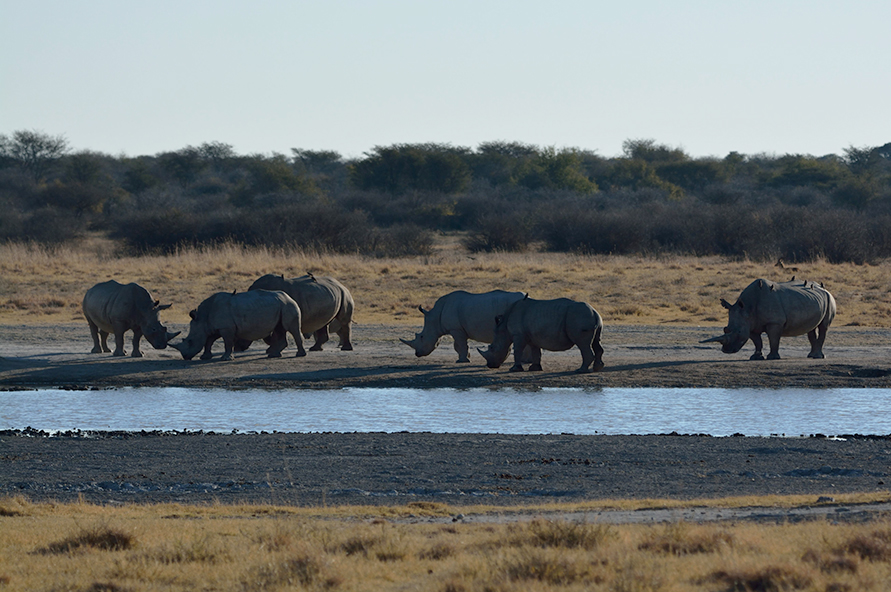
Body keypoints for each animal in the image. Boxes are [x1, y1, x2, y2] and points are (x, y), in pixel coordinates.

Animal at [172, 288, 308, 358]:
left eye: (190, 341)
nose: (185, 357)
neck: (202, 317)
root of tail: (290, 297)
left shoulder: (226, 327)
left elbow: (227, 343)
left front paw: (225, 358)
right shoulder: (213, 327)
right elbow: (209, 341)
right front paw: (205, 357)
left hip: (288, 306)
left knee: (291, 329)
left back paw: (299, 355)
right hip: (281, 305)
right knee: (279, 329)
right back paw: (274, 355)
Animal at [398, 290, 528, 364]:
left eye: (421, 337)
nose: (417, 354)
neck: (435, 318)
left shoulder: (456, 329)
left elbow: (459, 345)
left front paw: (462, 361)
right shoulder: (459, 329)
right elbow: (461, 345)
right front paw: (467, 357)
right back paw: (524, 361)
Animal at [474, 296, 608, 374]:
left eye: (492, 348)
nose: (490, 365)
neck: (503, 329)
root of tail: (595, 312)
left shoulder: (518, 335)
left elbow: (517, 350)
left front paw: (514, 369)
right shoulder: (533, 336)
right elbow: (536, 351)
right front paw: (535, 368)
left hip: (580, 317)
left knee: (583, 344)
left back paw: (580, 370)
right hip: (592, 318)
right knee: (596, 342)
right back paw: (598, 368)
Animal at [704, 278, 836, 360]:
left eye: (739, 332)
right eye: (725, 329)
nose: (726, 350)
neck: (747, 308)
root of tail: (824, 288)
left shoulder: (774, 322)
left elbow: (773, 339)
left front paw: (772, 357)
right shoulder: (751, 324)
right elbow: (757, 341)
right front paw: (756, 357)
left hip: (829, 298)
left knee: (823, 327)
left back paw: (818, 356)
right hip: (814, 300)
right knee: (811, 328)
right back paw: (811, 355)